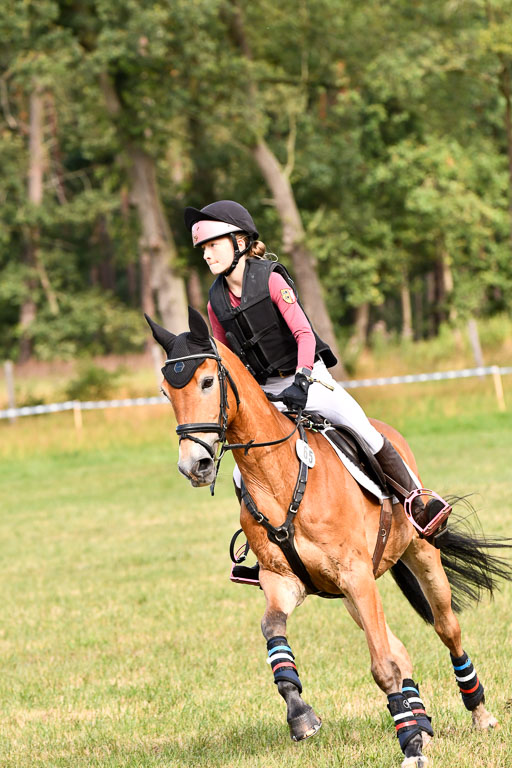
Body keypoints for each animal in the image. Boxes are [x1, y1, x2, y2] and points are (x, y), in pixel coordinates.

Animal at [146, 308, 510, 768]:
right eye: (165, 391)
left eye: (208, 381)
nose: (194, 465)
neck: (279, 475)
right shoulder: (285, 580)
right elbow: (274, 635)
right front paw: (301, 715)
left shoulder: (355, 576)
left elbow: (382, 666)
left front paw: (409, 747)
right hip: (354, 593)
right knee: (399, 647)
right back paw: (422, 722)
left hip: (416, 554)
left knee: (446, 628)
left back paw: (477, 713)